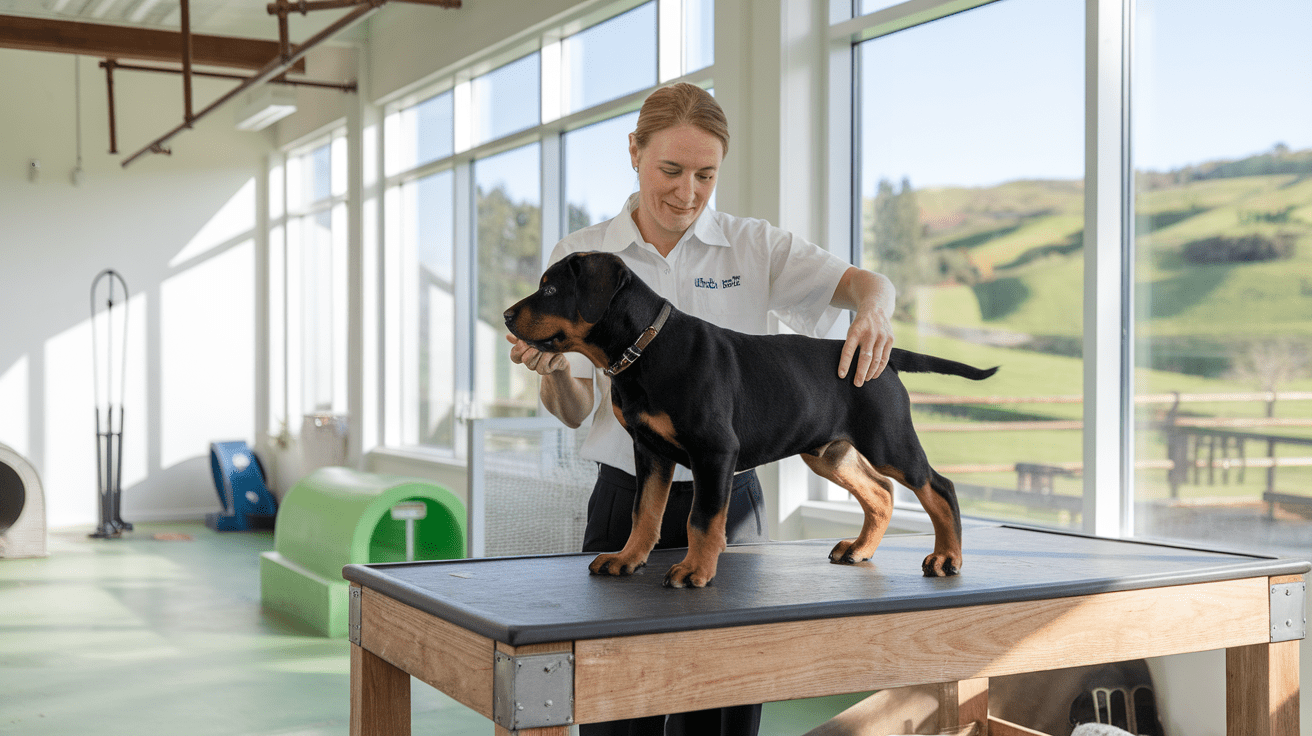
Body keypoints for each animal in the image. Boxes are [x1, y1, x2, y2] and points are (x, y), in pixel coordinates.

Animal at [506, 251, 997, 585]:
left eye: (550, 290)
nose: (508, 315)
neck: (644, 348)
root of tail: (882, 358)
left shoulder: (714, 451)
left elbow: (703, 518)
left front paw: (694, 570)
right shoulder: (649, 451)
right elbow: (643, 511)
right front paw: (627, 559)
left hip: (888, 439)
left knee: (937, 486)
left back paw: (947, 558)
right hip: (828, 452)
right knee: (880, 492)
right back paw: (859, 550)